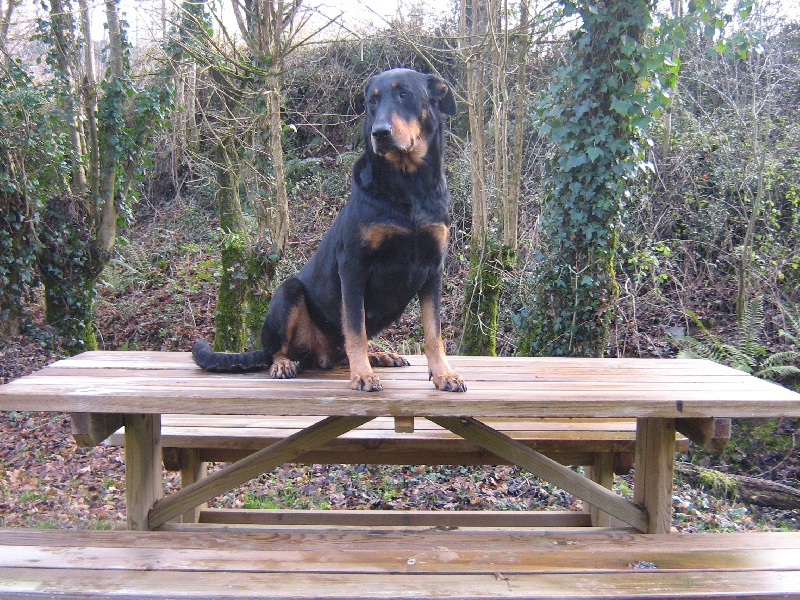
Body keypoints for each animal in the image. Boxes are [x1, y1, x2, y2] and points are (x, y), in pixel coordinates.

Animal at [194, 68, 466, 392]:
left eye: (405, 94)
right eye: (372, 102)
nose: (380, 133)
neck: (408, 187)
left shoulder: (433, 267)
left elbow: (433, 332)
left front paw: (443, 374)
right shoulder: (353, 266)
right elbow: (355, 329)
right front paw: (362, 375)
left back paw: (380, 355)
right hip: (288, 291)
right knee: (279, 348)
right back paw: (285, 363)